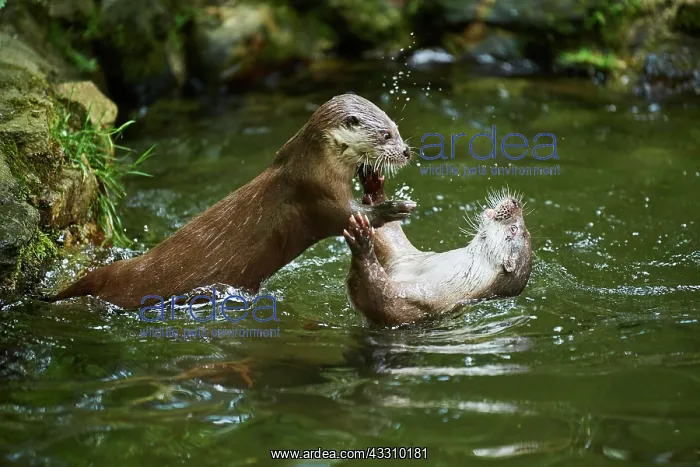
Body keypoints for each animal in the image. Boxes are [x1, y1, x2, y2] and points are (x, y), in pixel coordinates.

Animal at [53, 94, 416, 308]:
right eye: (386, 134)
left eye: (397, 127)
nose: (406, 151)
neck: (311, 164)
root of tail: (107, 274)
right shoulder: (316, 193)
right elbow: (344, 216)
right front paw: (394, 207)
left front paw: (373, 179)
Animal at [343, 171, 532, 326]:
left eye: (514, 229)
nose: (516, 203)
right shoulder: (404, 256)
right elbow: (391, 237)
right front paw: (374, 189)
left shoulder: (419, 300)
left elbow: (379, 299)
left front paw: (362, 240)